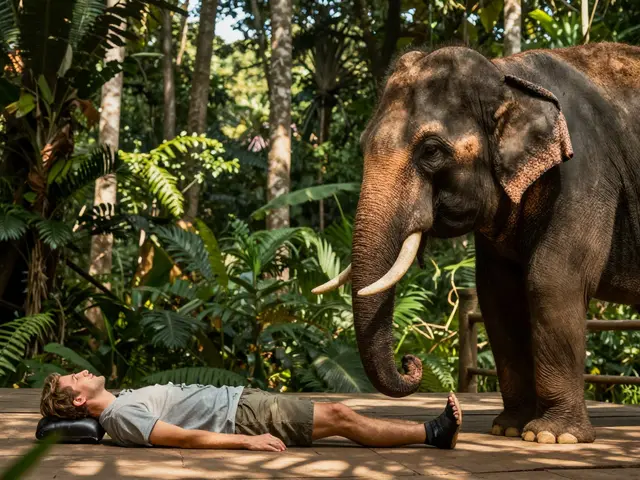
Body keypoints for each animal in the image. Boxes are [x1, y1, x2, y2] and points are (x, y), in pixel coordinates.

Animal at [312, 42, 640, 445]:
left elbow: (552, 280)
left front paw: (551, 436)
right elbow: (497, 293)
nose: (409, 362)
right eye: (362, 145)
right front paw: (508, 427)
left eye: (431, 151)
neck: (508, 76)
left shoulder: (584, 173)